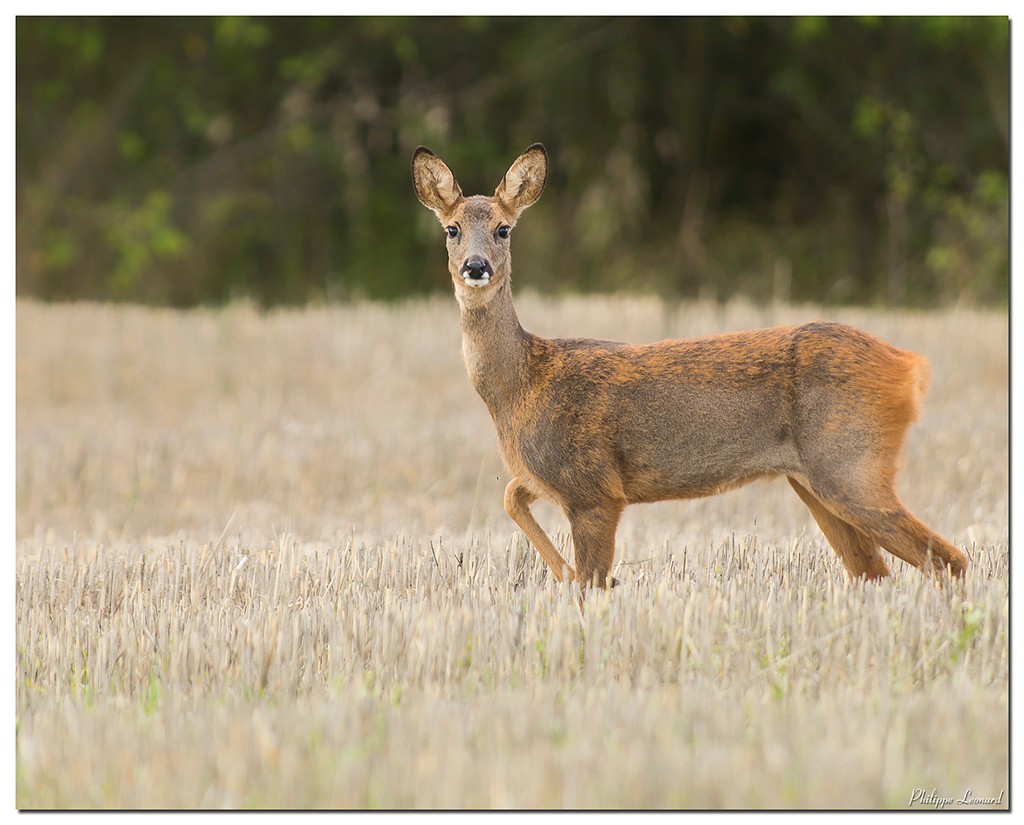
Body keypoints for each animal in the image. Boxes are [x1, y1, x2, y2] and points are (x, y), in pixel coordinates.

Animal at [409, 145, 966, 589]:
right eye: (452, 229)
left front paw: (581, 582)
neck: (521, 387)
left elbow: (591, 581)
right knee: (874, 570)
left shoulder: (595, 488)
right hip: (814, 481)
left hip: (851, 462)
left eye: (503, 229)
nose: (475, 267)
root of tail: (909, 367)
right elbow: (510, 497)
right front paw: (561, 571)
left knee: (948, 559)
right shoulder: (544, 476)